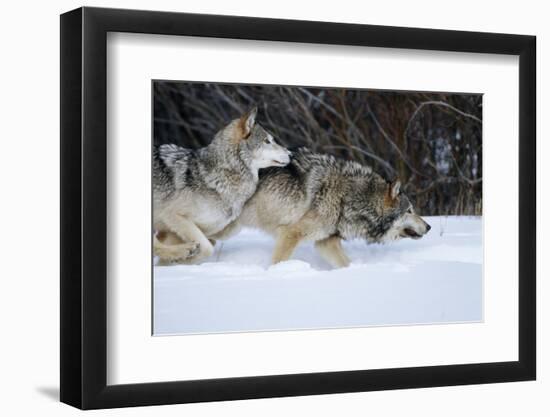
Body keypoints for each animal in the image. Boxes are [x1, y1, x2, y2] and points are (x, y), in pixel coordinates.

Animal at [154, 107, 294, 264]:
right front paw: (183, 262)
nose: (291, 154)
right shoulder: (172, 215)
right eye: (267, 141)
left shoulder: (175, 231)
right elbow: (207, 248)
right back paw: (186, 250)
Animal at [216, 148, 436, 268]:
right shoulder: (290, 234)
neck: (348, 198)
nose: (429, 227)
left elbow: (345, 264)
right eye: (409, 211)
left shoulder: (326, 242)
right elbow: (278, 261)